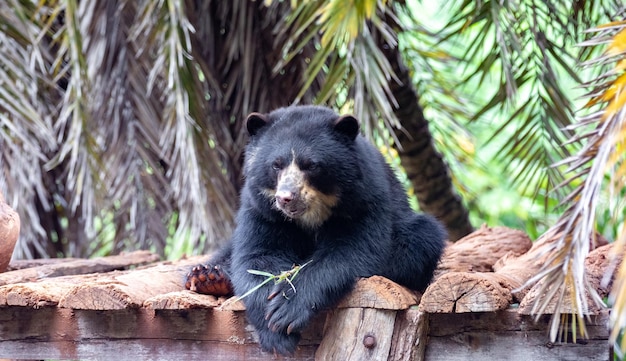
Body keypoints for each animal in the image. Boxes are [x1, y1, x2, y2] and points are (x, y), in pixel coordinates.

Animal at [184, 104, 444, 354]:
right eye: (276, 165)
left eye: (311, 165)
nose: (285, 198)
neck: (310, 214)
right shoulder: (261, 208)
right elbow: (258, 256)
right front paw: (274, 332)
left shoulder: (364, 201)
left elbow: (350, 252)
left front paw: (286, 311)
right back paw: (208, 276)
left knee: (421, 238)